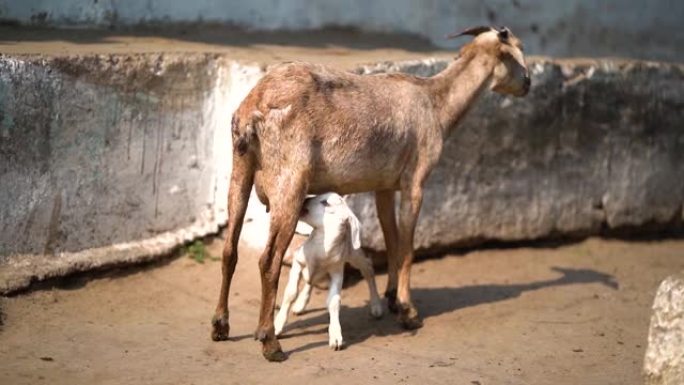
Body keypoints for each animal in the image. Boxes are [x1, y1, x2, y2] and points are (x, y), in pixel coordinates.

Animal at [211, 26, 532, 360]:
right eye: (518, 49)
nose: (528, 84)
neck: (436, 103)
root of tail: (253, 108)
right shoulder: (415, 181)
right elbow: (408, 246)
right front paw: (408, 311)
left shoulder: (384, 186)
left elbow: (392, 239)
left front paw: (390, 297)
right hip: (289, 184)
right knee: (269, 261)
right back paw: (270, 342)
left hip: (240, 171)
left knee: (230, 249)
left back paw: (221, 326)